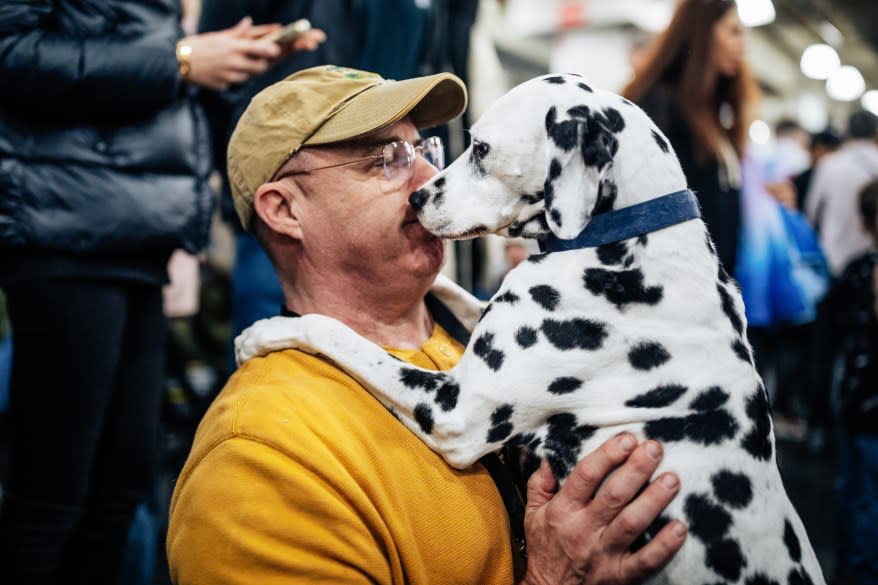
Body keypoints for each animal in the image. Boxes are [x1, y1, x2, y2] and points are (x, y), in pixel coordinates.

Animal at [235, 74, 824, 584]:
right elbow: (461, 294)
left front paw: (264, 330)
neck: (627, 241)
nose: (417, 199)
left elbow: (336, 332)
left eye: (481, 149)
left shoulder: (454, 411)